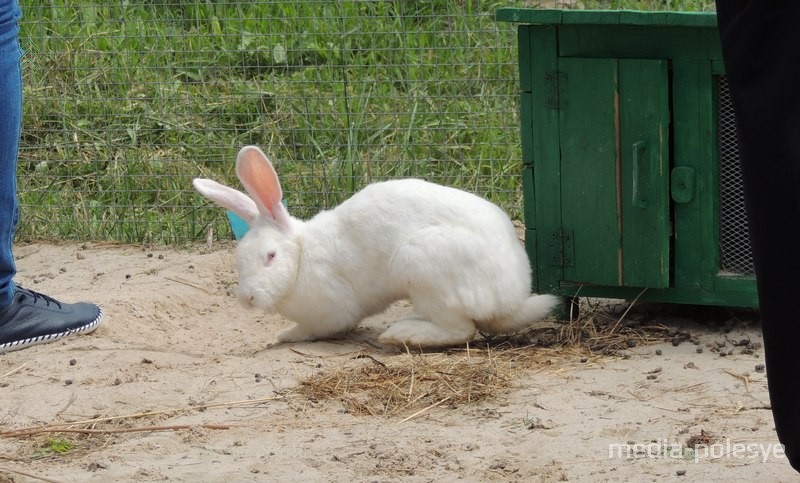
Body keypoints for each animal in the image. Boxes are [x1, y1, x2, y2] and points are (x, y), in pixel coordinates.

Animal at [193, 147, 556, 348]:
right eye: (239, 259)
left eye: (270, 256)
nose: (247, 299)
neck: (301, 256)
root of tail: (513, 297)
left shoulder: (330, 311)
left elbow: (314, 329)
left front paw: (284, 336)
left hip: (422, 266)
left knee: (461, 330)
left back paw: (401, 335)